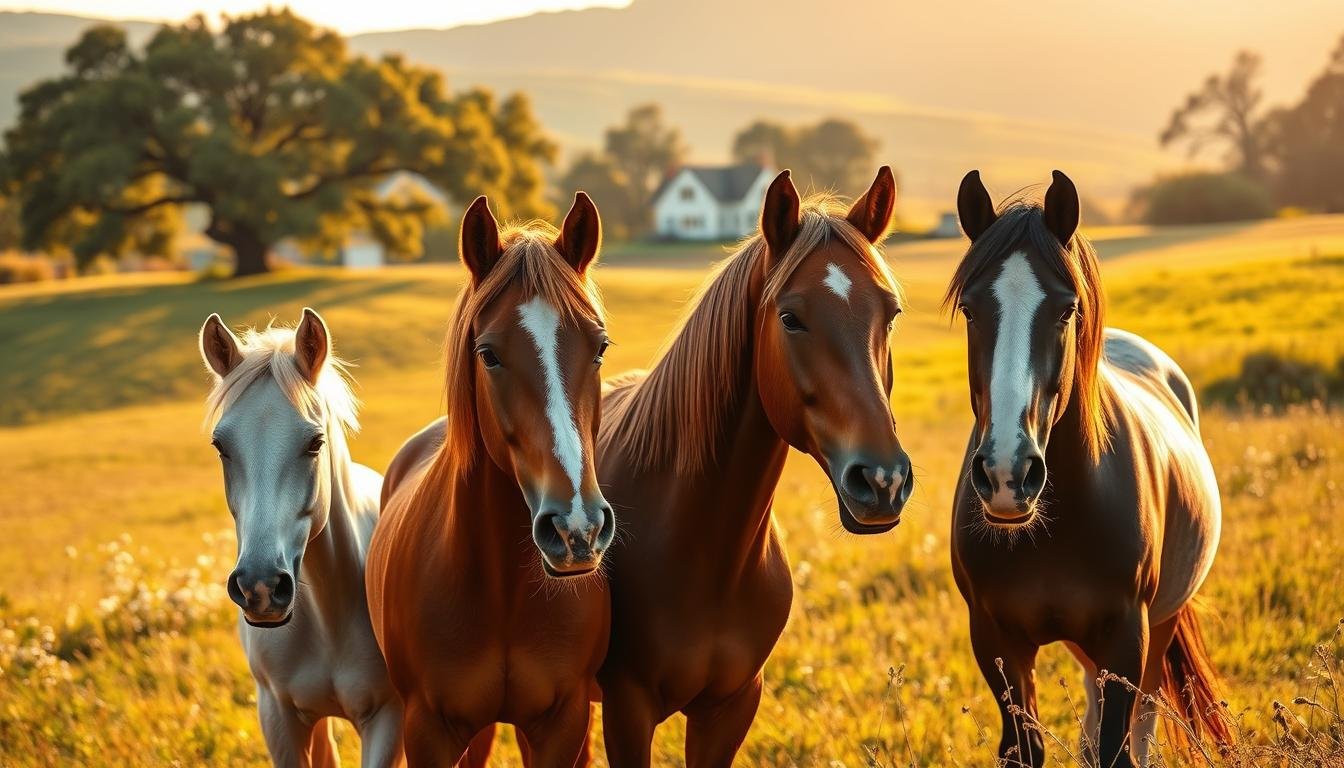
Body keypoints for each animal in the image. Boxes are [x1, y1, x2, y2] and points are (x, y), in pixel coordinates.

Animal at [365, 193, 614, 768]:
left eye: (599, 348)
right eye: (489, 354)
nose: (577, 530)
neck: (504, 592)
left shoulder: (561, 723)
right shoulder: (429, 729)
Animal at [945, 170, 1231, 767]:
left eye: (1065, 309)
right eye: (970, 309)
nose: (1007, 475)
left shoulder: (1126, 636)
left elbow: (1118, 747)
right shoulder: (996, 641)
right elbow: (1025, 747)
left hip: (1160, 625)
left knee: (1142, 716)